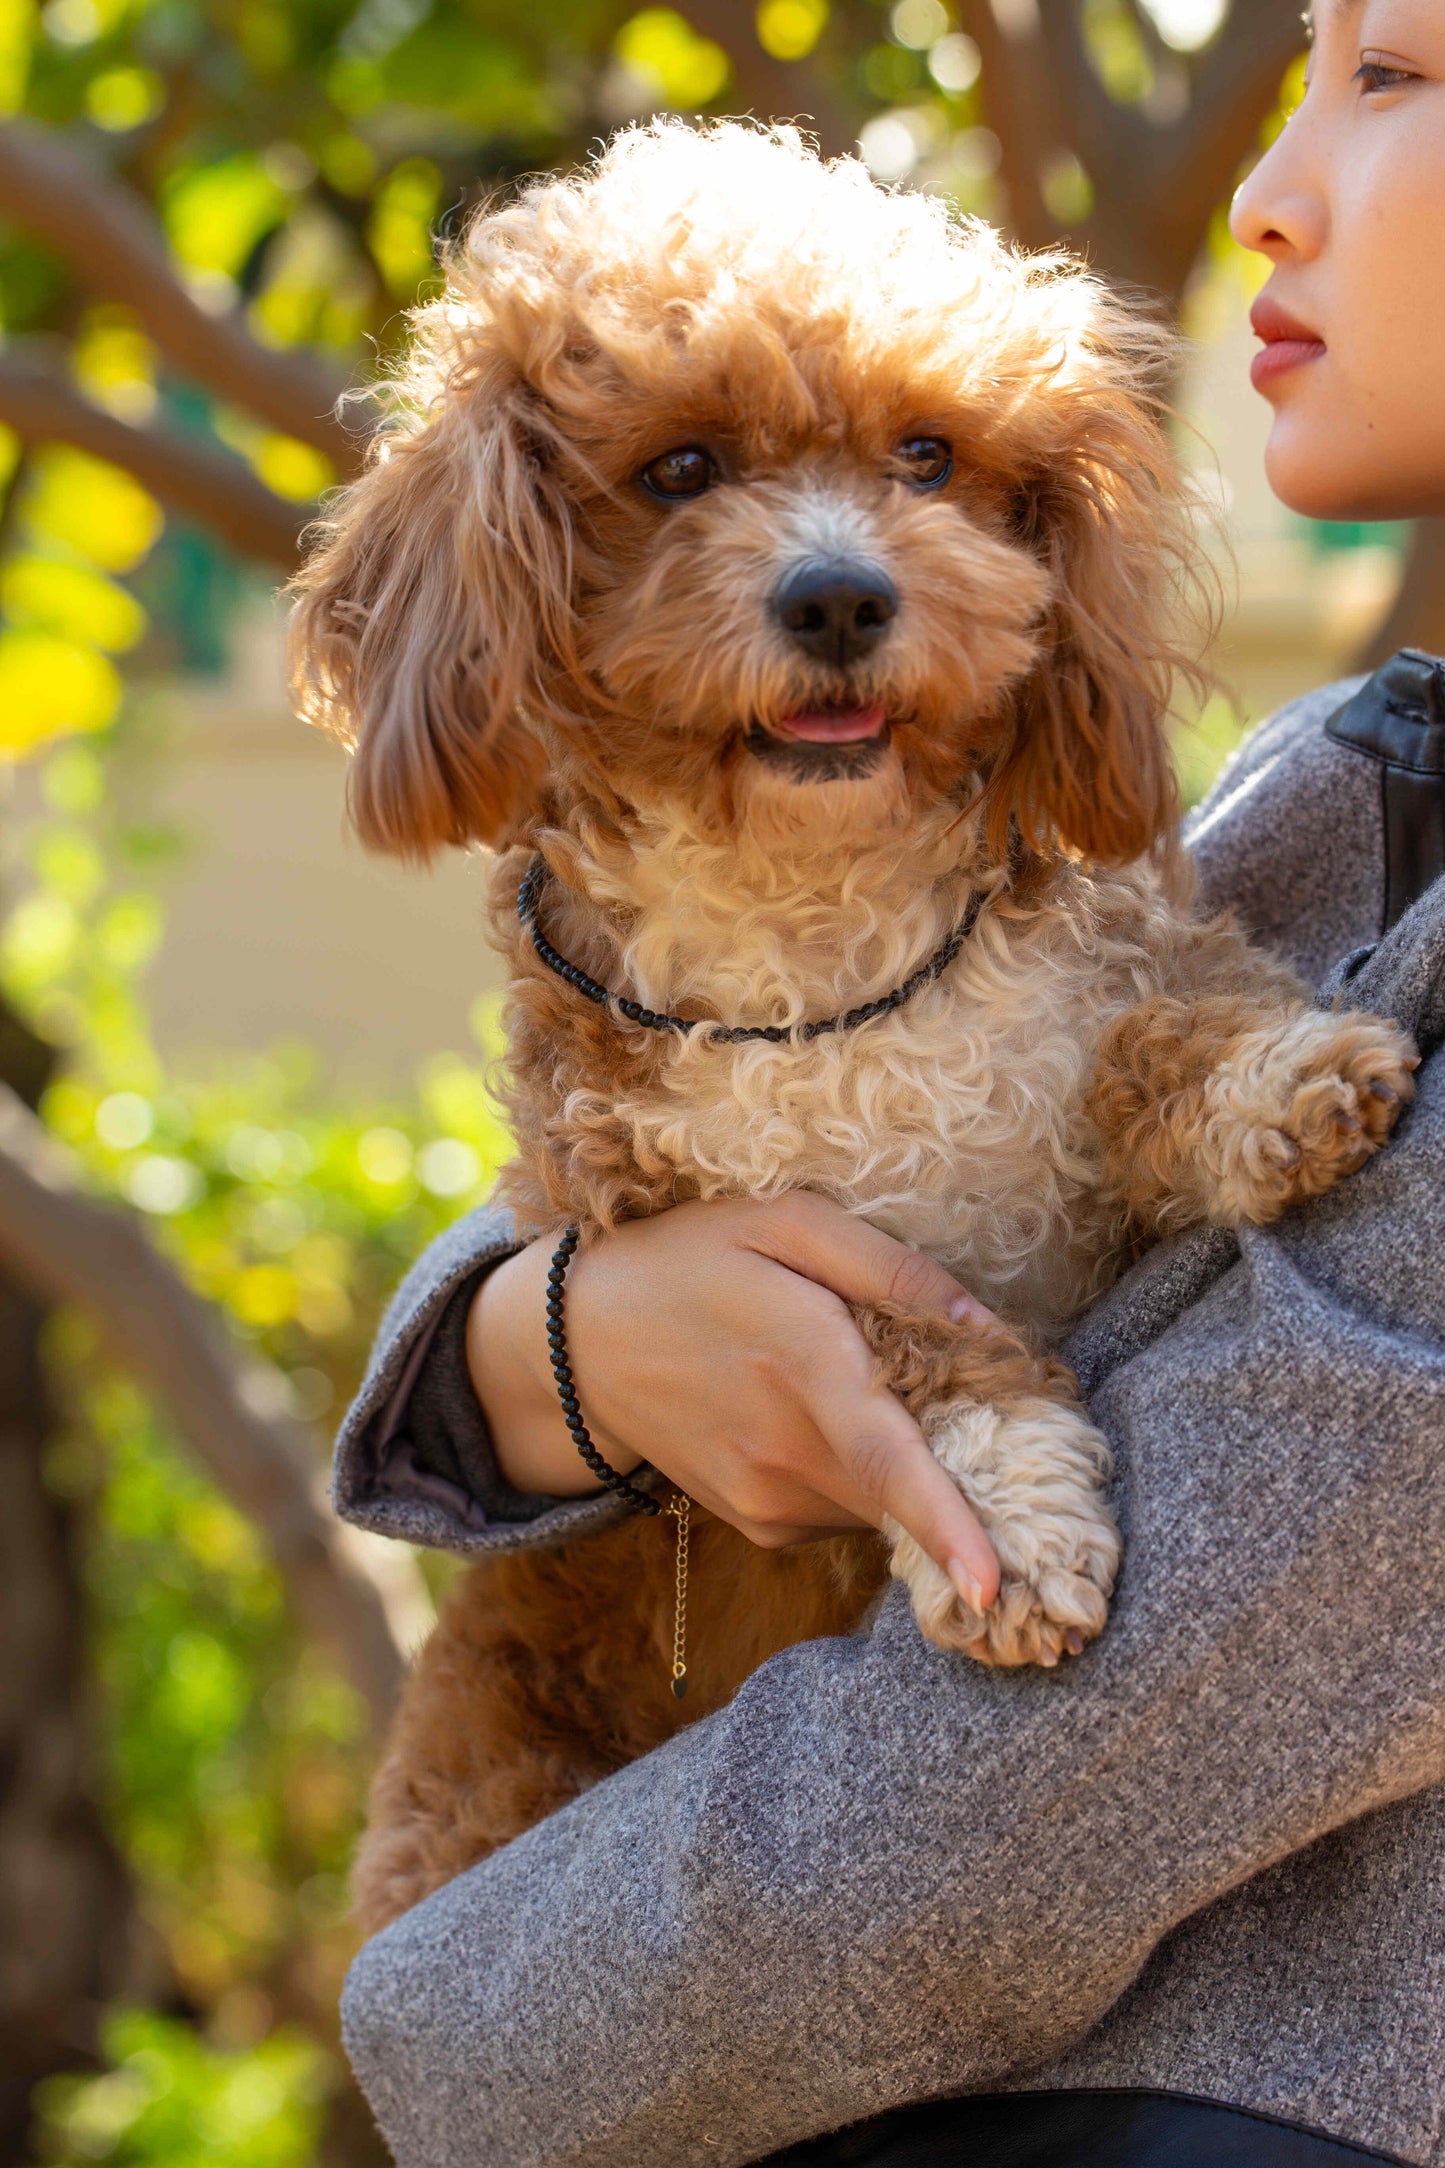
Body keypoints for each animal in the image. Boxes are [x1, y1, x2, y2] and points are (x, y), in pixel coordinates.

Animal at [288, 118, 1421, 1933]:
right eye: (679, 468)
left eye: (927, 455)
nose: (838, 598)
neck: (818, 949)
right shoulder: (717, 1236)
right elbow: (916, 1344)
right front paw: (1003, 1518)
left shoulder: (1095, 1000)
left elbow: (1165, 1036)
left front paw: (1284, 1070)